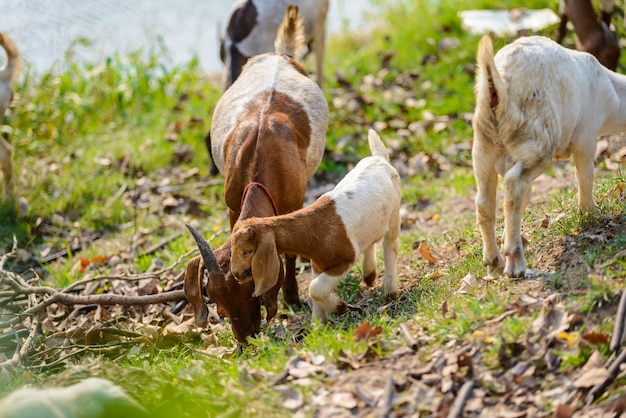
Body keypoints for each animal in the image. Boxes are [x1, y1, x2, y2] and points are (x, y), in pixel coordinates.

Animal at [184, 4, 326, 342]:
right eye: (212, 296)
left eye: (248, 284)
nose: (244, 338)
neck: (258, 171)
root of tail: (279, 54)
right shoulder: (232, 206)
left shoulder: (293, 203)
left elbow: (289, 251)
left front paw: (292, 298)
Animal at [229, 130, 400, 324]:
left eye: (247, 251)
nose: (236, 274)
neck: (316, 230)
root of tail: (380, 158)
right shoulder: (317, 264)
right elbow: (315, 291)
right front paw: (319, 324)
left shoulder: (344, 259)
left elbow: (315, 289)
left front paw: (339, 308)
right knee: (371, 241)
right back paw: (369, 275)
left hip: (394, 214)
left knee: (390, 245)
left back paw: (390, 291)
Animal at [470, 35, 626, 278]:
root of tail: (497, 88)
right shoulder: (586, 135)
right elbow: (585, 176)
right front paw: (591, 211)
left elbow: (526, 196)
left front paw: (506, 236)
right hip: (537, 139)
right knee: (514, 185)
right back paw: (515, 263)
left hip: (483, 146)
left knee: (486, 202)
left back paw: (494, 261)